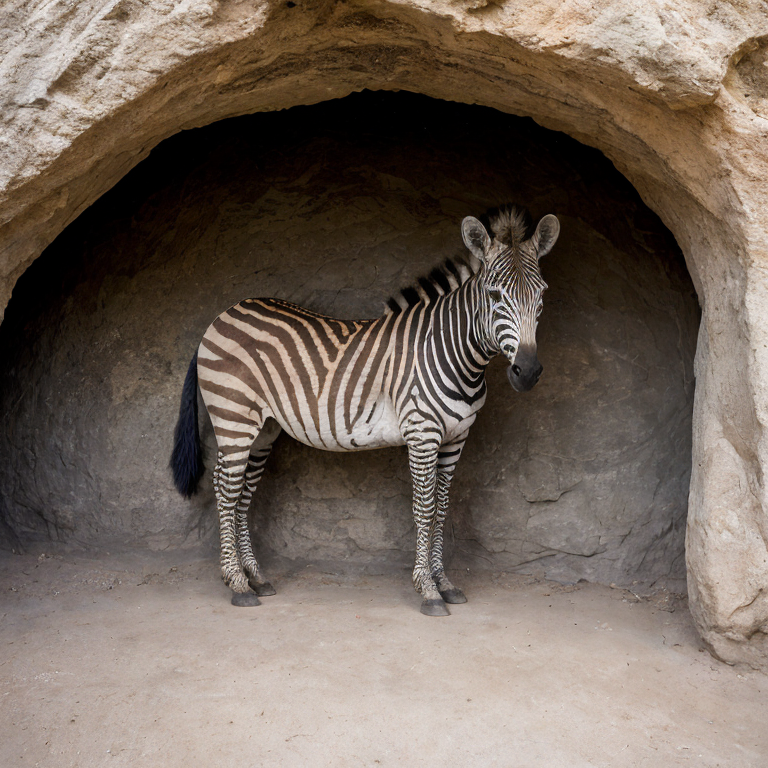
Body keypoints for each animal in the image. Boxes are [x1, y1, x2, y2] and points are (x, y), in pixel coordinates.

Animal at [170, 207, 560, 615]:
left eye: (542, 294)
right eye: (495, 294)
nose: (528, 372)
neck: (454, 353)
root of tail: (223, 315)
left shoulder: (456, 438)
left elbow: (442, 507)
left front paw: (445, 583)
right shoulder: (422, 433)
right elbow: (424, 508)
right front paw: (428, 590)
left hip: (264, 428)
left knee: (243, 493)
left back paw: (256, 578)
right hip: (234, 417)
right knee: (225, 491)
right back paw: (237, 584)